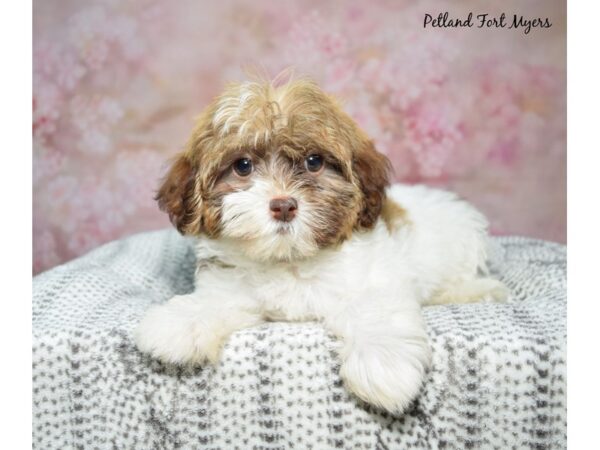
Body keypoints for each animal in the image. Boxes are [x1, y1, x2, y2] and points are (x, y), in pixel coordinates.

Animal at [134, 77, 508, 414]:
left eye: (314, 161)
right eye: (243, 165)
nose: (284, 205)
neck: (290, 259)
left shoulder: (375, 279)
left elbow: (374, 309)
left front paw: (383, 365)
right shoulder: (232, 285)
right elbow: (216, 301)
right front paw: (180, 322)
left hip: (463, 239)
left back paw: (477, 290)